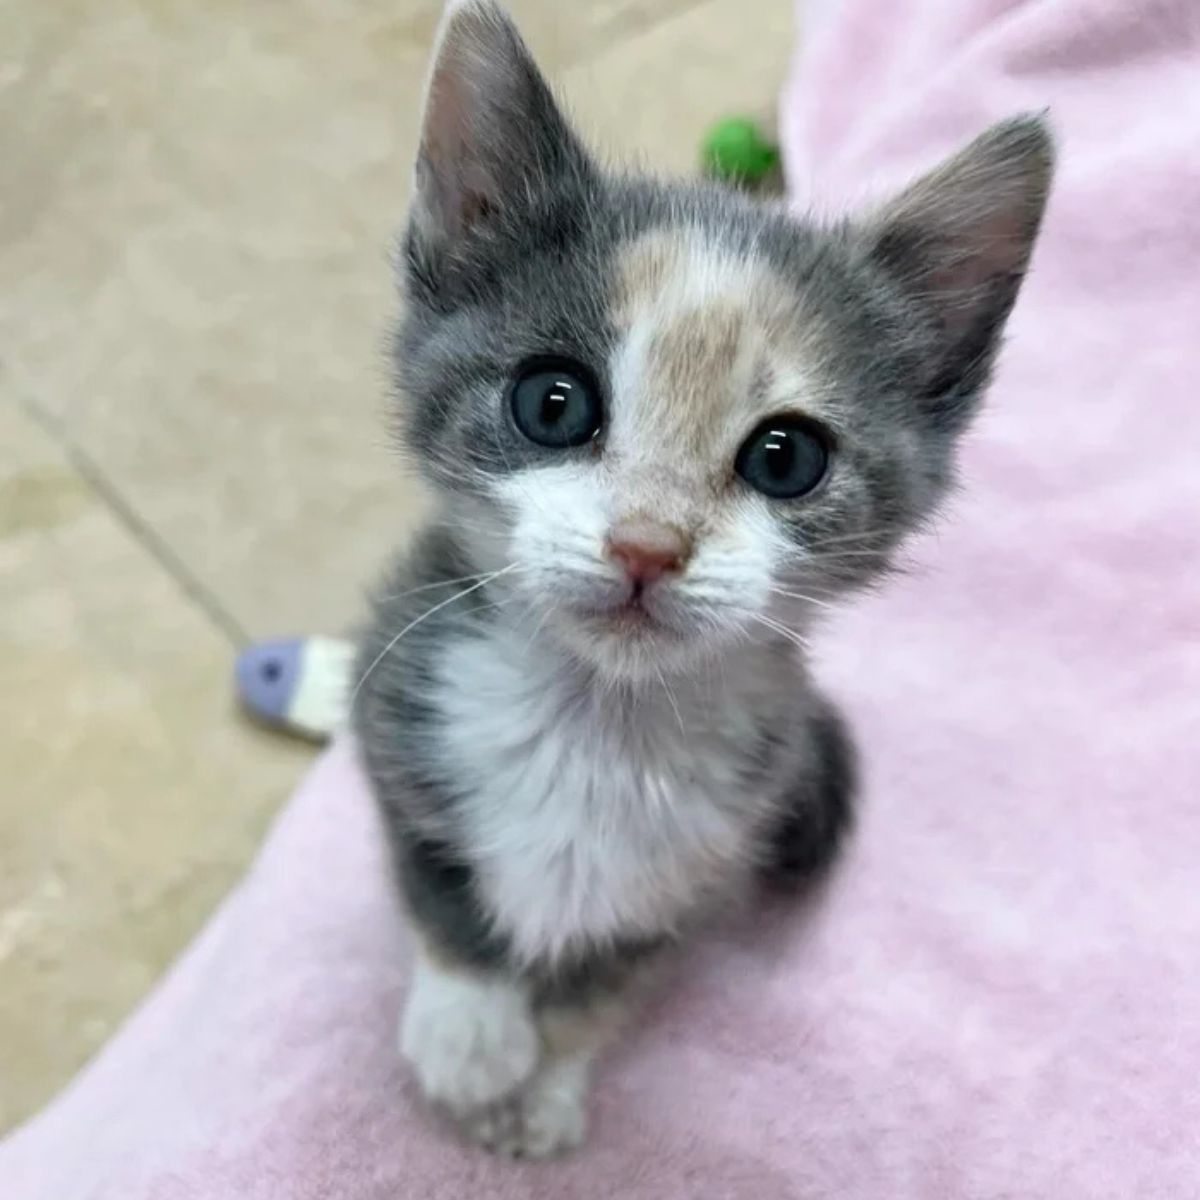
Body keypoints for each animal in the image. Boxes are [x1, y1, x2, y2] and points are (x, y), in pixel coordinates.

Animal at [352, 0, 1051, 1161]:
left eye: (786, 457)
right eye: (552, 402)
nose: (647, 544)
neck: (596, 722)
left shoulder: (701, 870)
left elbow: (609, 984)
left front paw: (547, 1082)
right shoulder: (394, 706)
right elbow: (436, 879)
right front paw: (470, 1034)